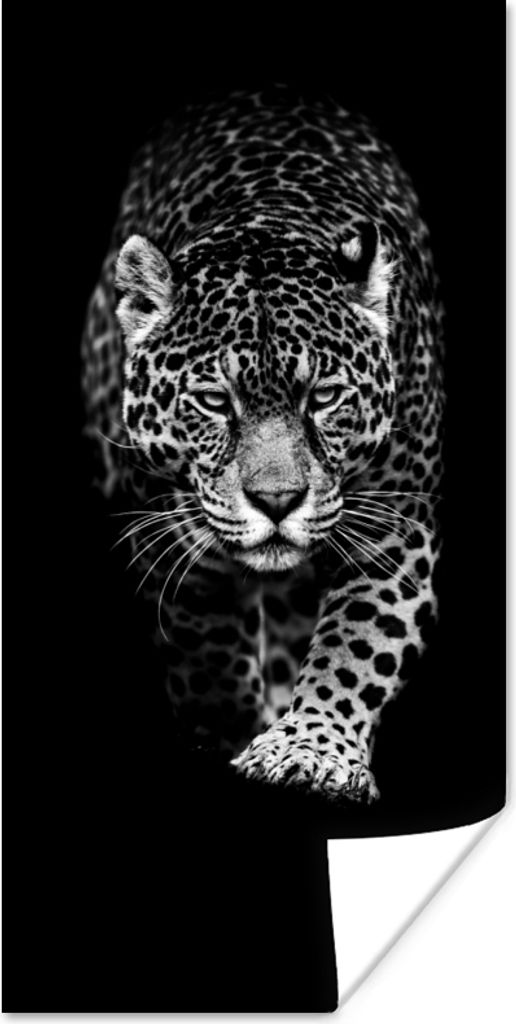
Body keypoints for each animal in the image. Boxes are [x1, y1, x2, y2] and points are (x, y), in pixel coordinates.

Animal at [81, 84, 444, 804]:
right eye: (215, 402)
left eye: (324, 397)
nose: (277, 501)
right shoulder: (172, 542)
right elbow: (207, 654)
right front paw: (227, 735)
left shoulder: (393, 535)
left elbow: (357, 645)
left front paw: (311, 751)